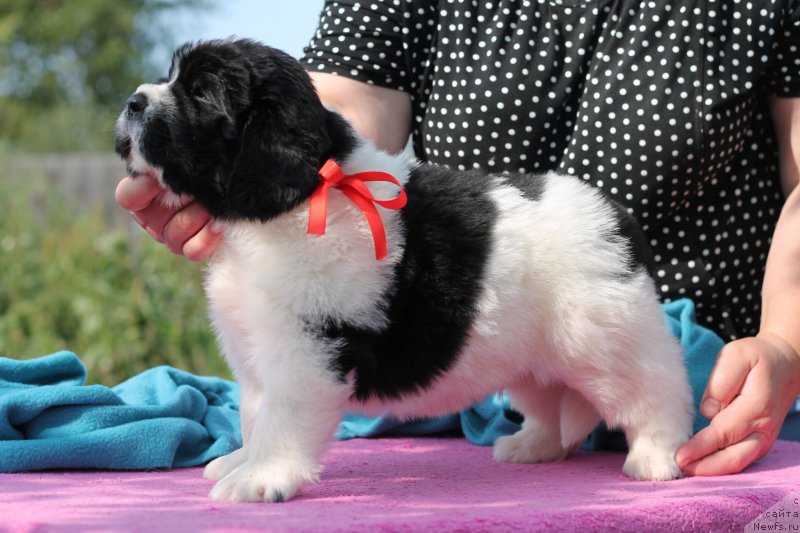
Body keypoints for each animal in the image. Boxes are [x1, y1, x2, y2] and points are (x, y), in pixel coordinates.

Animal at [117, 39, 692, 500]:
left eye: (202, 93)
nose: (132, 103)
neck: (300, 195)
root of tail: (616, 218)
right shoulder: (257, 345)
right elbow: (255, 413)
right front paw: (242, 460)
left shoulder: (306, 350)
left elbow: (282, 419)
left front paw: (263, 478)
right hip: (532, 350)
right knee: (548, 399)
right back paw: (533, 445)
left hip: (606, 340)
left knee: (656, 391)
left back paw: (657, 457)